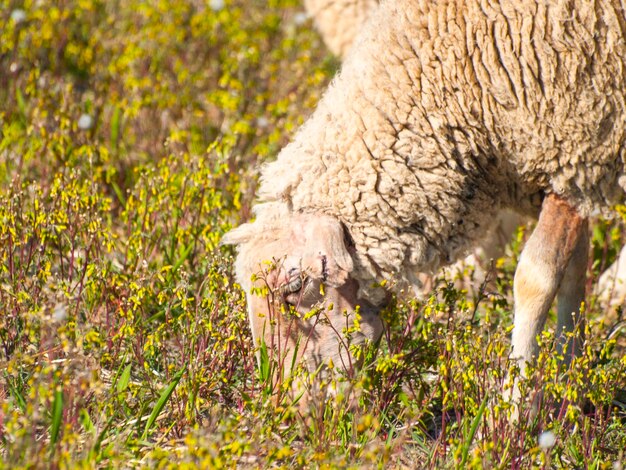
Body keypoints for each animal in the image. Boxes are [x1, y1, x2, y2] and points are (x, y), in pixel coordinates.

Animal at [224, 0, 624, 398]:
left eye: (294, 288)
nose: (289, 400)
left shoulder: (578, 140)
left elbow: (537, 278)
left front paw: (518, 395)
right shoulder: (575, 165)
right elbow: (574, 271)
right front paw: (570, 379)